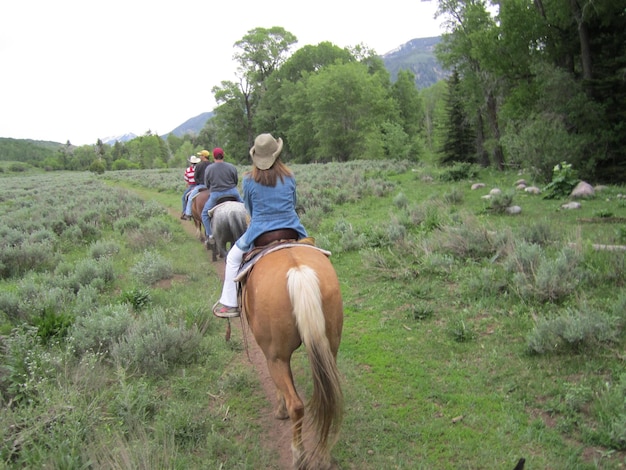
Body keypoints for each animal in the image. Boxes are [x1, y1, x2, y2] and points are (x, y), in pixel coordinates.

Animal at [241, 246, 344, 470]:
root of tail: (298, 271)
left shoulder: (272, 356)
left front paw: (280, 411)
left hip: (276, 358)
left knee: (296, 405)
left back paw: (299, 456)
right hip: (330, 350)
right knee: (328, 399)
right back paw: (323, 455)